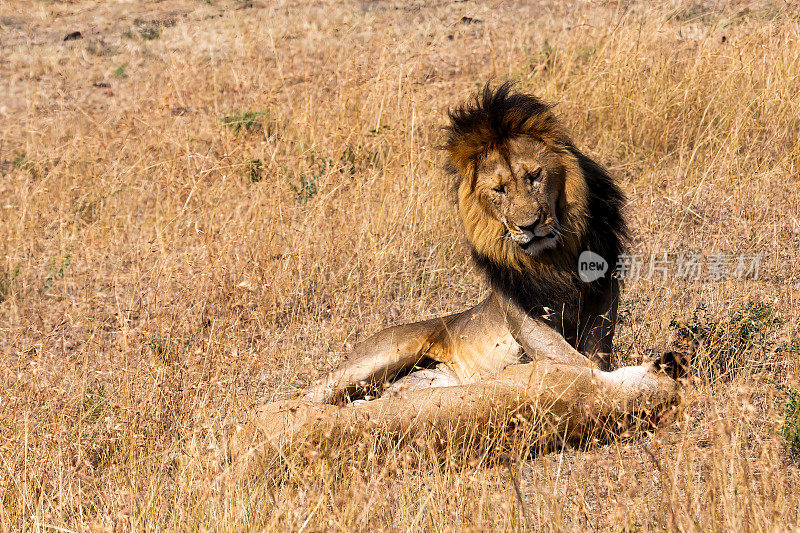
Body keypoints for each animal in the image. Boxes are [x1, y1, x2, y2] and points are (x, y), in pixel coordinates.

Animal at [230, 85, 680, 460]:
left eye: (535, 177)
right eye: (499, 190)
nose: (530, 225)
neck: (553, 256)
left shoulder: (603, 294)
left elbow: (594, 353)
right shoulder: (522, 315)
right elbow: (576, 362)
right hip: (382, 353)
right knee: (303, 398)